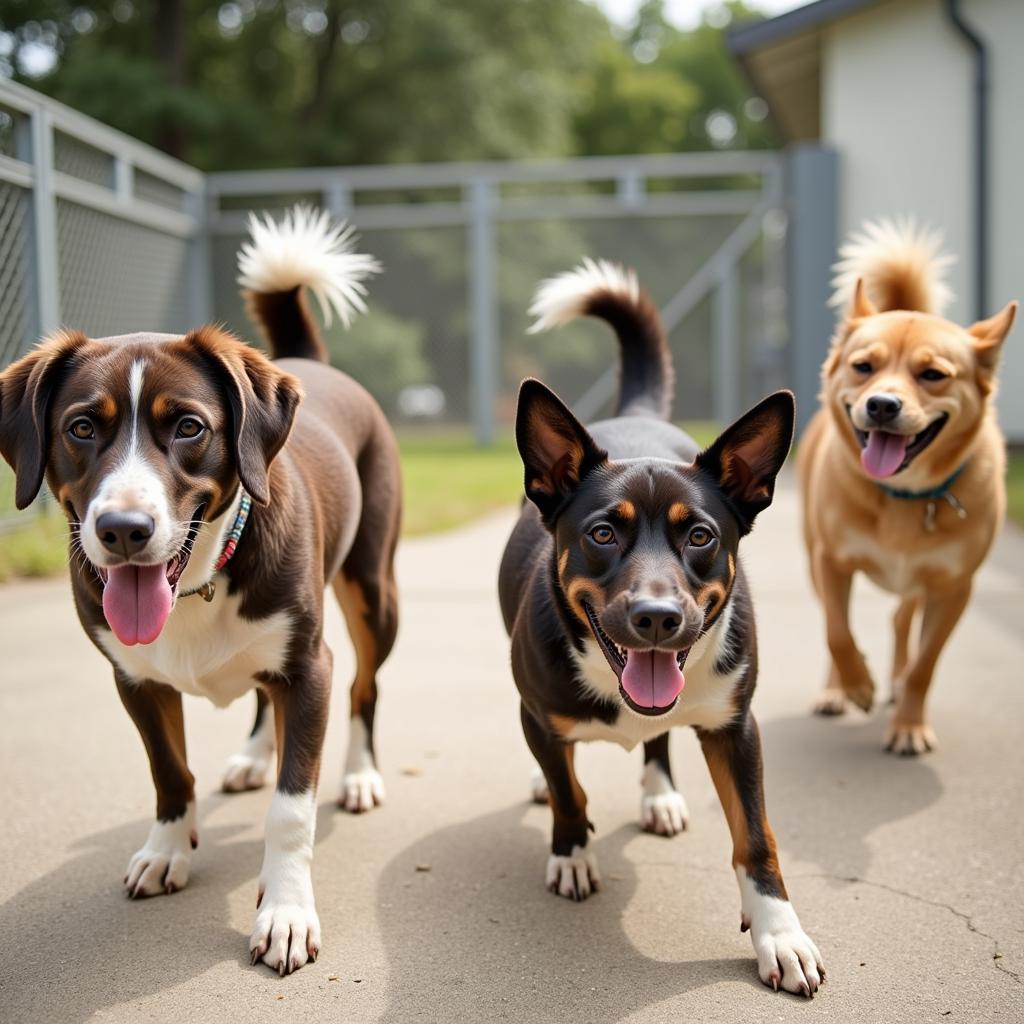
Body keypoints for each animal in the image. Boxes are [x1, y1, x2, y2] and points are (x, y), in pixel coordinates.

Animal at [0, 203, 399, 970]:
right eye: (81, 427)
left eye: (188, 427)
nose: (124, 529)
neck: (199, 582)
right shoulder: (134, 680)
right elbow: (169, 771)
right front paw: (166, 850)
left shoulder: (309, 668)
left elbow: (291, 808)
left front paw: (285, 910)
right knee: (264, 700)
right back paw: (252, 755)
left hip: (373, 592)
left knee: (364, 686)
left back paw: (360, 773)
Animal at [499, 260, 827, 995]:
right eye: (601, 533)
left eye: (700, 535)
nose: (657, 618)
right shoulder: (539, 714)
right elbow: (567, 787)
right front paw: (572, 850)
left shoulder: (737, 729)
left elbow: (756, 837)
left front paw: (780, 933)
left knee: (657, 739)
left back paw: (660, 794)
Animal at [798, 220, 1015, 753]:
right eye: (863, 367)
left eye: (932, 374)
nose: (881, 405)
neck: (903, 494)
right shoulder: (830, 562)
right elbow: (838, 632)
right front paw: (856, 684)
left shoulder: (954, 589)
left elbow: (924, 665)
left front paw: (910, 725)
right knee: (840, 624)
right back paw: (837, 690)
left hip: (919, 584)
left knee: (901, 622)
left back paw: (894, 686)